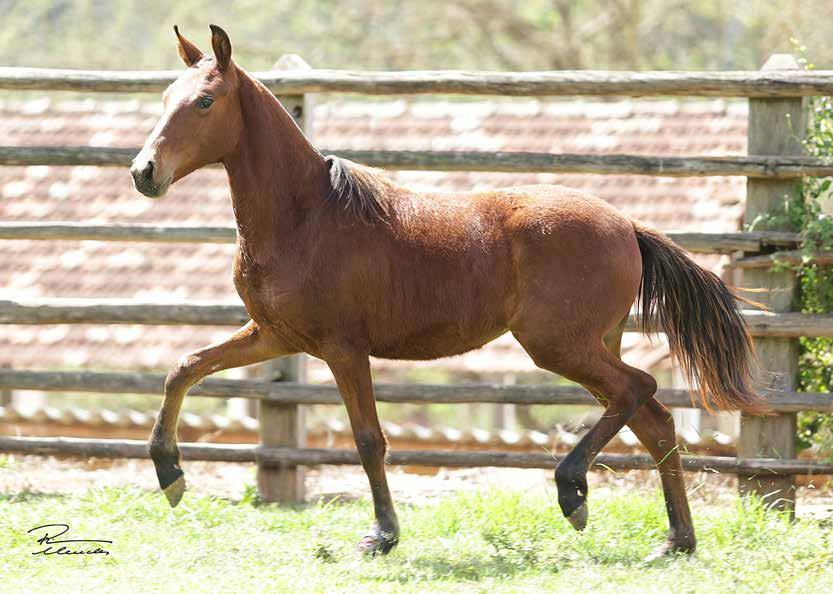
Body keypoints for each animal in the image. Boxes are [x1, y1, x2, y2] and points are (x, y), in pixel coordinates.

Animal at [128, 24, 760, 560]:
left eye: (205, 102)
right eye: (165, 98)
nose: (144, 172)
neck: (304, 217)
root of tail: (628, 225)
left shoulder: (342, 348)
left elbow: (369, 439)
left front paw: (382, 536)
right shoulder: (276, 336)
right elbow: (184, 368)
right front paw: (169, 474)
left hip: (558, 345)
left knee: (639, 391)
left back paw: (573, 492)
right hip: (594, 343)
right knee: (653, 419)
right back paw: (675, 541)